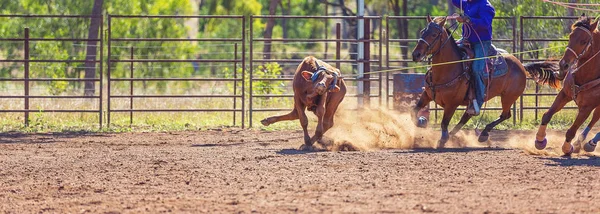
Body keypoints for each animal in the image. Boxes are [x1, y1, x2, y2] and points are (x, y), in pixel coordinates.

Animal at [410, 16, 560, 147]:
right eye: (423, 31)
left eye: (434, 34)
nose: (416, 54)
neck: (447, 69)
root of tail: (521, 65)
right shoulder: (427, 95)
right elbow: (414, 111)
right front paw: (421, 122)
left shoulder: (451, 104)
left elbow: (444, 123)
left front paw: (441, 140)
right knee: (467, 117)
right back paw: (456, 136)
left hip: (508, 97)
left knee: (505, 115)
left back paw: (483, 134)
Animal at [536, 15, 600, 155]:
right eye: (570, 36)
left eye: (584, 41)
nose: (563, 64)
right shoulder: (564, 94)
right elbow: (546, 115)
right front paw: (539, 140)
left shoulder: (586, 108)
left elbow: (571, 131)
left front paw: (567, 148)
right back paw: (580, 143)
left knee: (595, 118)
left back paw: (589, 144)